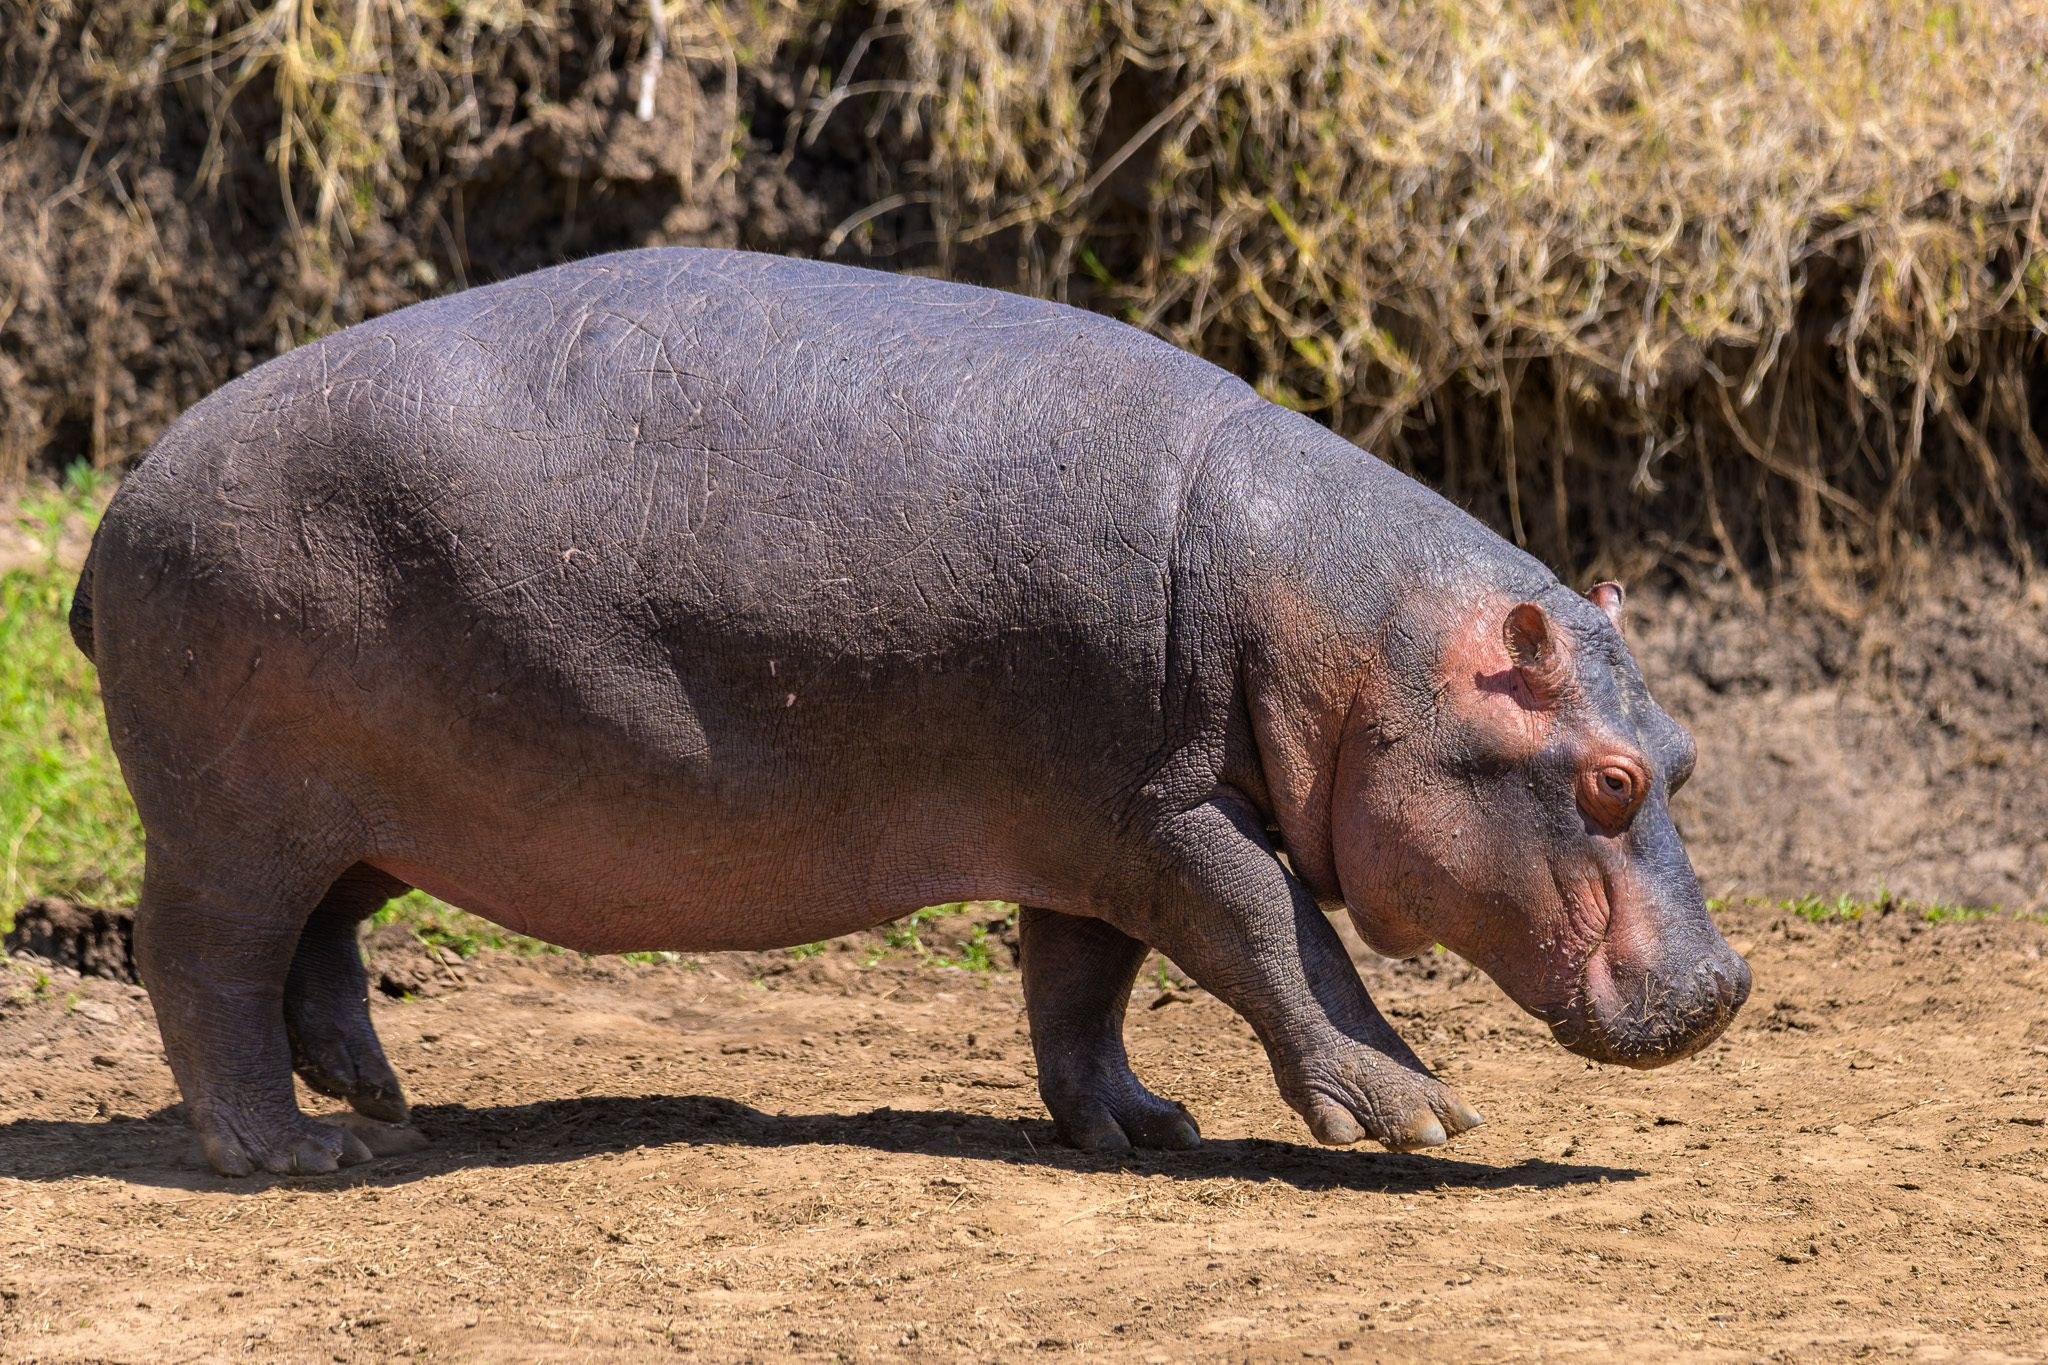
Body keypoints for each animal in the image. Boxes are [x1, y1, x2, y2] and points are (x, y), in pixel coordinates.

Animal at [72, 248, 1750, 1176]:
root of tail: (117, 508)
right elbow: (1279, 939)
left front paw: (1140, 1125)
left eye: (1680, 755)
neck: (1347, 638)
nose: (1729, 987)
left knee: (320, 945)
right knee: (206, 960)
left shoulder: (1095, 817)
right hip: (236, 811)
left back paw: (386, 1099)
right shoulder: (1170, 815)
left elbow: (1081, 987)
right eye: (1607, 782)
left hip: (385, 808)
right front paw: (1419, 1113)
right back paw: (301, 1150)